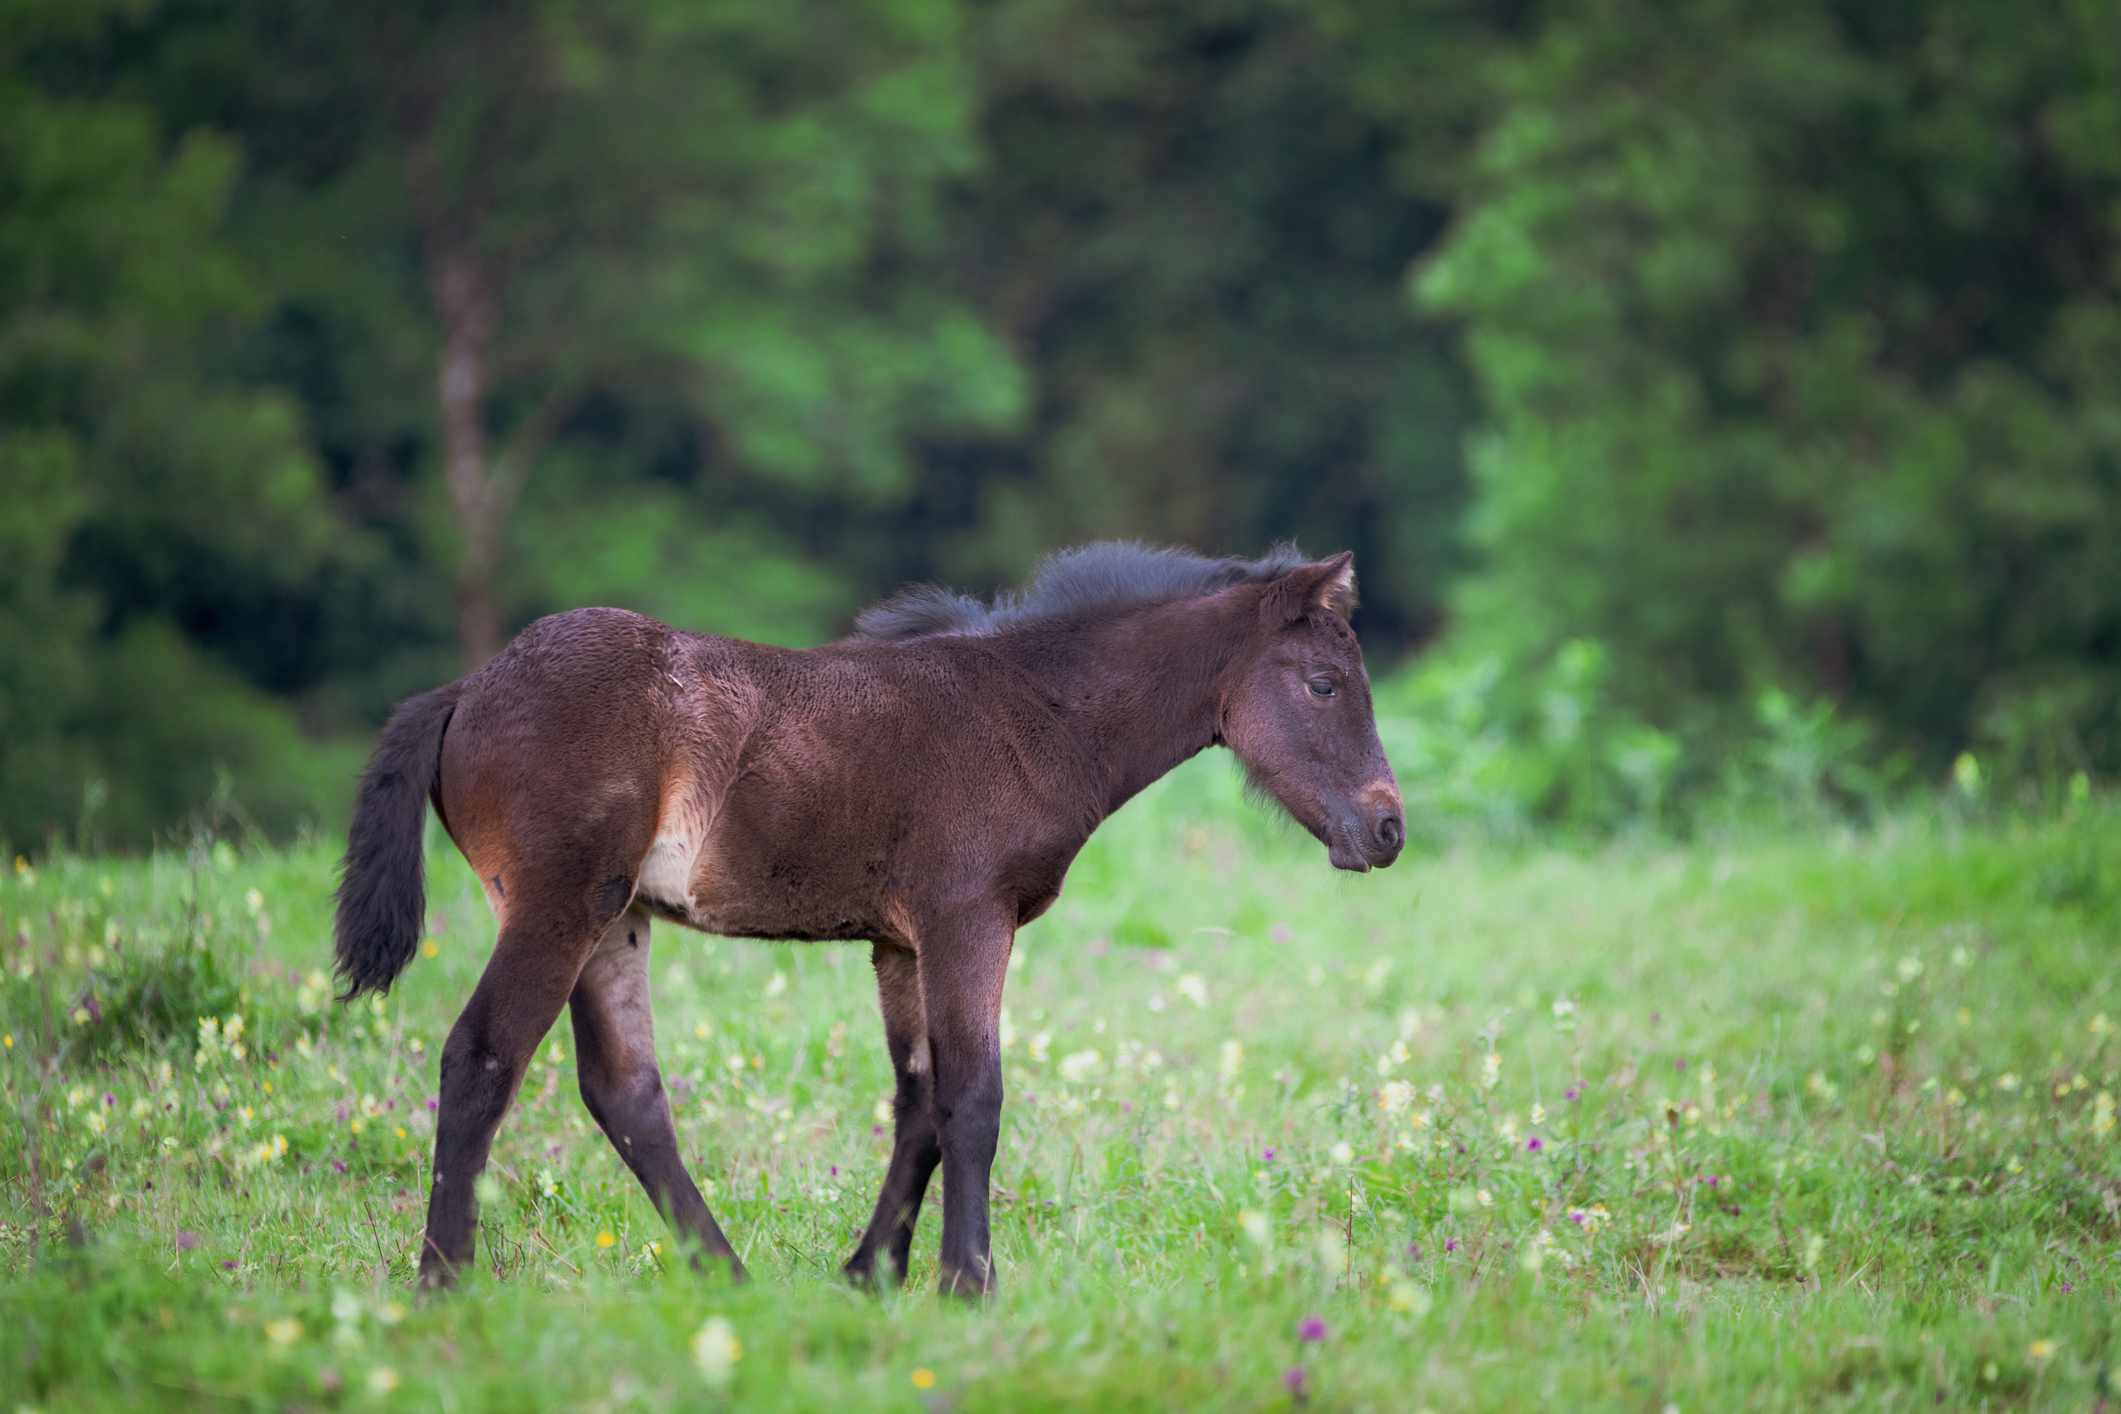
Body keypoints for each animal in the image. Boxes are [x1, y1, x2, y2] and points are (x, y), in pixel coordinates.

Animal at [335, 542, 1408, 1297]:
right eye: (1323, 684)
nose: (1388, 828)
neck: (1032, 712)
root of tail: (467, 687)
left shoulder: (899, 943)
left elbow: (919, 1104)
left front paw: (870, 1274)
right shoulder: (968, 920)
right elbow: (974, 1098)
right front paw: (966, 1282)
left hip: (616, 917)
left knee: (624, 1090)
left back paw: (728, 1276)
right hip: (558, 902)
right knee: (482, 1057)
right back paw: (443, 1285)